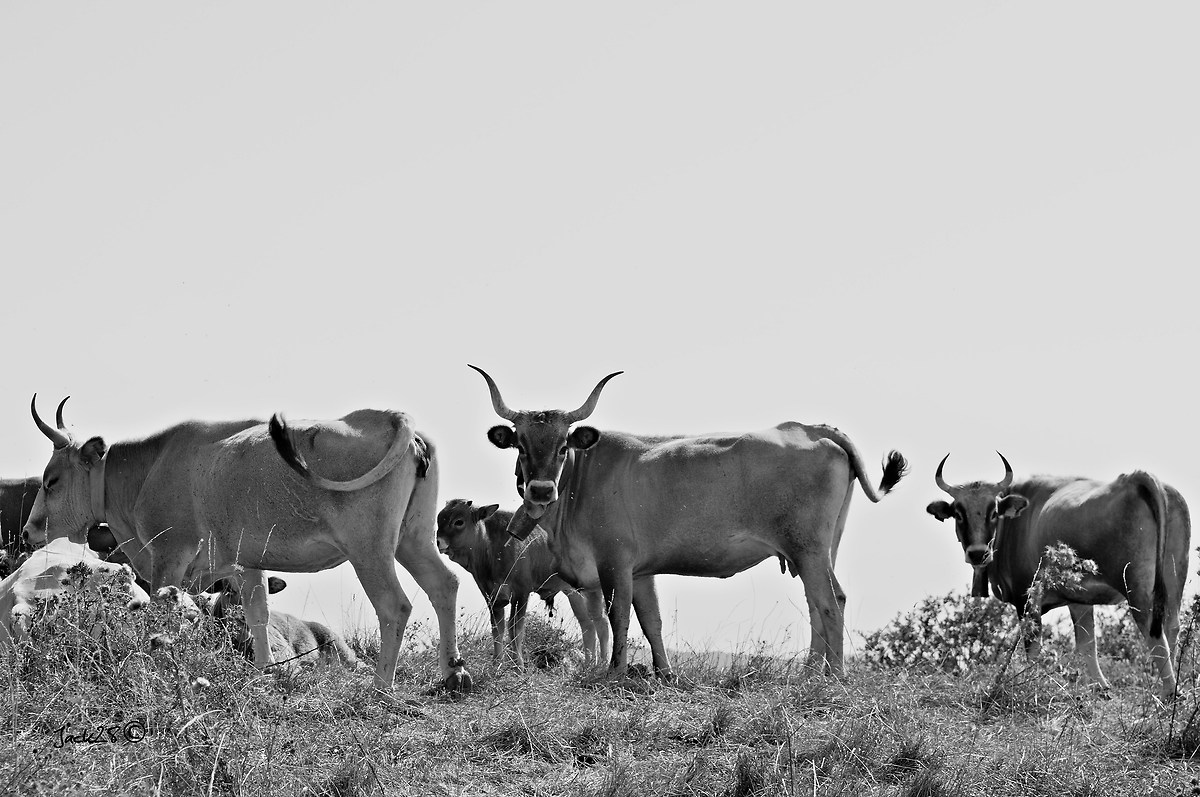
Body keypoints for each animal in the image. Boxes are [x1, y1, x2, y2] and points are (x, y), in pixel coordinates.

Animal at [436, 498, 610, 669]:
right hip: (574, 592)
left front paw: (518, 666)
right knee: (588, 625)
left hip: (594, 590)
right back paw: (588, 665)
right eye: (439, 519)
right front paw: (496, 663)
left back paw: (602, 665)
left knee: (602, 622)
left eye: (459, 521)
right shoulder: (492, 598)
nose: (438, 541)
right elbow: (497, 629)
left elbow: (515, 628)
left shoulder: (521, 593)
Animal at [469, 365, 909, 679]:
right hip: (818, 549)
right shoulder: (641, 570)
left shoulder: (615, 563)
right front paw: (664, 674)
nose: (541, 490)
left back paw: (832, 679)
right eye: (521, 445)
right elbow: (652, 621)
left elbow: (618, 615)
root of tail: (810, 427)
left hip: (809, 548)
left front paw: (614, 674)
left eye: (563, 446)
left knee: (831, 602)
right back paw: (809, 675)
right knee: (818, 604)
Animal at [926, 453, 1191, 700]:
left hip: (1137, 588)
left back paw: (1169, 693)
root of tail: (1135, 479)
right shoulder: (1079, 600)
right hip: (1173, 578)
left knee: (1154, 633)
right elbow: (1087, 644)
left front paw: (1029, 685)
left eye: (993, 512)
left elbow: (1033, 647)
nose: (978, 553)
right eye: (958, 513)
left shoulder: (1027, 599)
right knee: (1171, 626)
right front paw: (1101, 688)